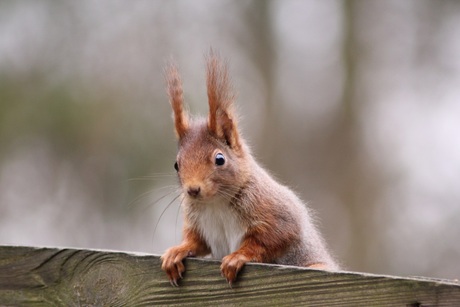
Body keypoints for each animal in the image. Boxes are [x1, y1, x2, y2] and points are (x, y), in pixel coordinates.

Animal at [161, 51, 338, 288]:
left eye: (219, 159)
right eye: (176, 165)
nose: (193, 190)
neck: (216, 204)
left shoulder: (277, 215)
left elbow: (270, 239)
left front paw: (237, 257)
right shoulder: (198, 226)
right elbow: (196, 242)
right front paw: (176, 252)